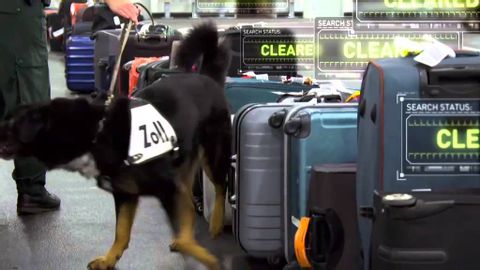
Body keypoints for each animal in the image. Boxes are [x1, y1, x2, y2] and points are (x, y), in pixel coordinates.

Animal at [0, 22, 231, 270]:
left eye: (11, 123)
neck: (96, 131)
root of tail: (207, 77)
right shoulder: (125, 193)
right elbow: (121, 232)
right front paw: (109, 259)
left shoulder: (166, 187)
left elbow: (186, 237)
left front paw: (208, 258)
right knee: (189, 199)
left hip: (213, 154)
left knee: (220, 186)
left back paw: (216, 223)